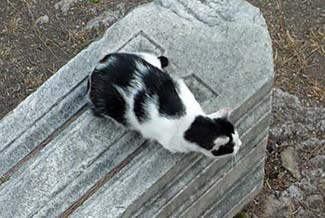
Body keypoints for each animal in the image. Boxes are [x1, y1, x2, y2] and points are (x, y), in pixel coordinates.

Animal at [88, 52, 240, 158]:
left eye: (236, 136)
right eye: (230, 147)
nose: (240, 144)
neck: (190, 121)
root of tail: (96, 71)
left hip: (143, 58)